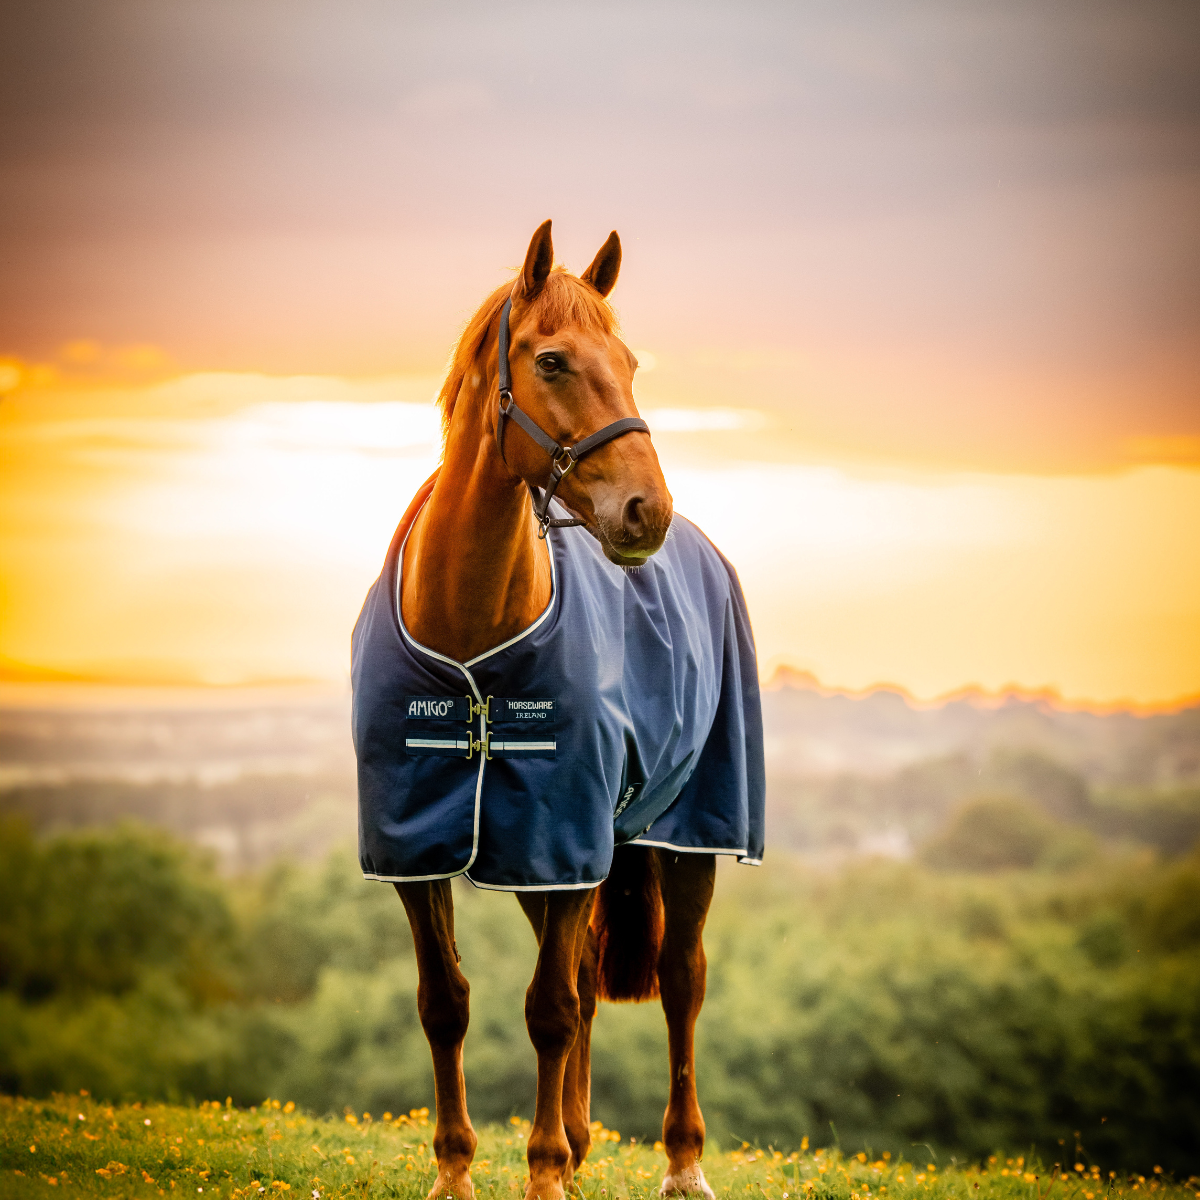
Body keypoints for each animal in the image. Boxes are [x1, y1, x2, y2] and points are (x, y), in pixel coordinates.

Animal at [351, 220, 764, 1200]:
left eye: (631, 360)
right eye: (551, 360)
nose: (646, 511)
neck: (471, 633)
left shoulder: (564, 836)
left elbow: (549, 1009)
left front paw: (540, 1175)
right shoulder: (427, 847)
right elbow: (446, 1003)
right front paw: (458, 1173)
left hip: (687, 837)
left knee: (680, 980)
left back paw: (680, 1160)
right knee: (579, 979)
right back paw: (577, 1142)